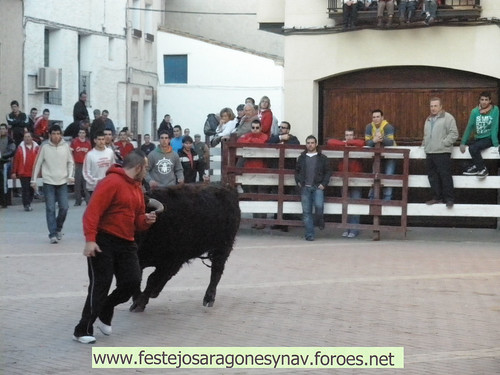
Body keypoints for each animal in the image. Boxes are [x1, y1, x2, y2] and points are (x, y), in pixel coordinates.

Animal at [130, 184, 241, 312]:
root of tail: (228, 190)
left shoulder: (172, 261)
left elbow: (152, 279)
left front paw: (139, 303)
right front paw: (137, 298)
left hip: (223, 248)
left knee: (216, 271)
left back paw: (209, 298)